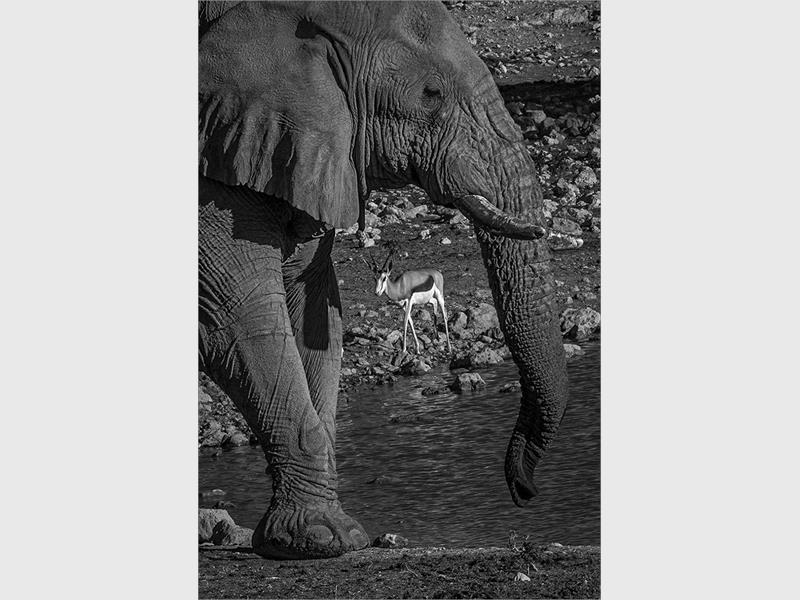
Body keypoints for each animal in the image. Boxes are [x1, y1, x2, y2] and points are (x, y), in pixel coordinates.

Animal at [198, 0, 569, 559]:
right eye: (430, 93)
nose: (523, 491)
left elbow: (314, 309)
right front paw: (321, 538)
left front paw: (311, 534)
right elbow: (240, 321)